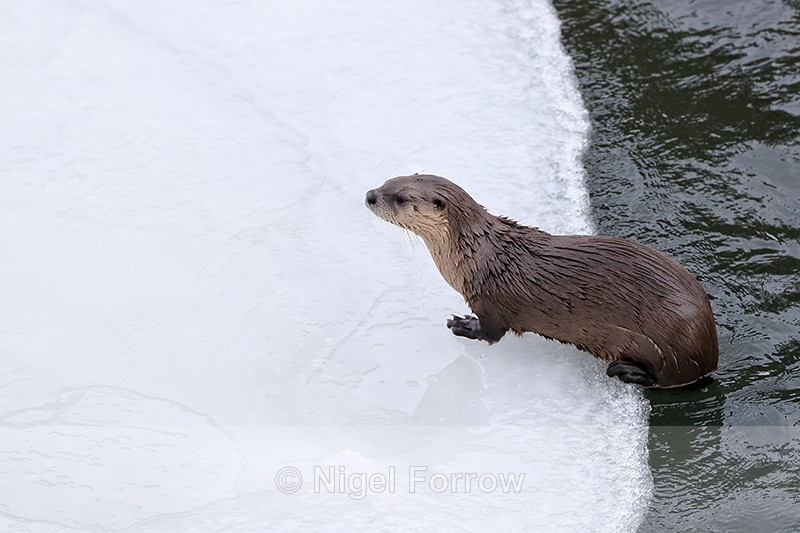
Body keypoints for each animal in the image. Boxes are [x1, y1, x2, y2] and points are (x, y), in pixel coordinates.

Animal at [365, 174, 718, 388]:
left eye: (400, 197)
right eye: (388, 181)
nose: (369, 195)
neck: (477, 256)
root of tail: (710, 350)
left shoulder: (489, 301)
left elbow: (490, 333)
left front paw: (463, 324)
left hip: (673, 347)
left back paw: (625, 370)